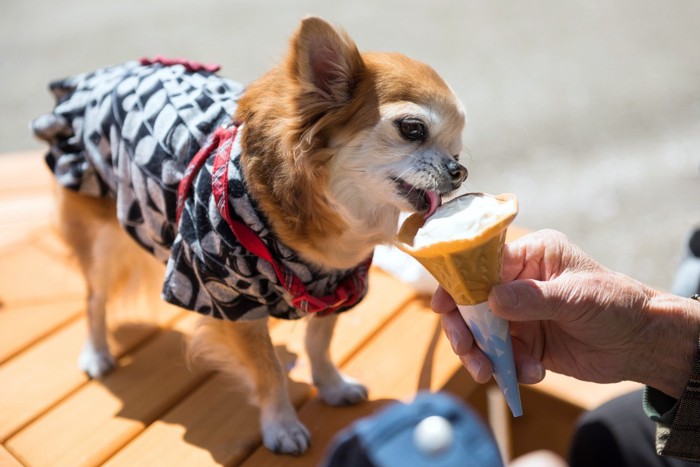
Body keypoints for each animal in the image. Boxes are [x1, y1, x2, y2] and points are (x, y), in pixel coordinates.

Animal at [34, 17, 470, 454]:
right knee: (94, 298)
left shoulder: (338, 283)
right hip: (102, 234)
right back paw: (96, 353)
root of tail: (105, 74)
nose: (459, 171)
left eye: (458, 150)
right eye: (412, 129)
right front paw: (281, 425)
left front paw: (331, 386)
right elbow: (267, 370)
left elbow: (319, 342)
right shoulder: (229, 296)